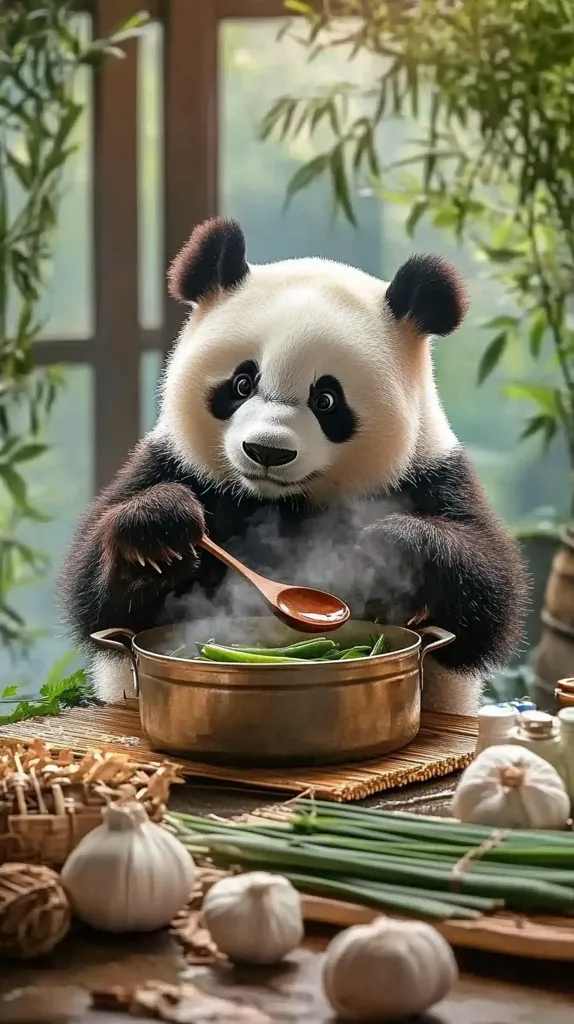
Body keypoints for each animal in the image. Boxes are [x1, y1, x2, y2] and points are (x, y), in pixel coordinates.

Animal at [59, 217, 528, 714]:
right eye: (242, 383)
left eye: (326, 400)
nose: (267, 451)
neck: (284, 500)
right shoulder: (172, 462)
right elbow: (95, 597)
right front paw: (160, 530)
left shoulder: (431, 473)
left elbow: (490, 602)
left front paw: (392, 546)